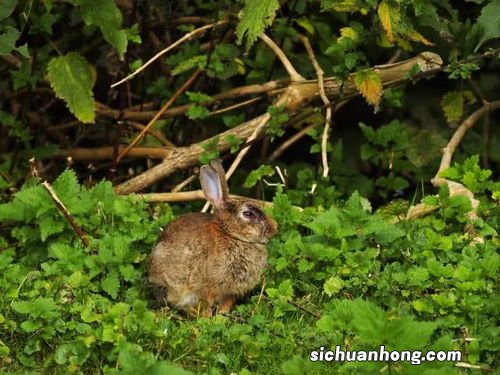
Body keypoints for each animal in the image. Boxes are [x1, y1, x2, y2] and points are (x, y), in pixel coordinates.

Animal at [148, 159, 282, 318]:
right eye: (248, 214)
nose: (275, 228)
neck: (231, 235)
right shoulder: (208, 286)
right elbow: (207, 302)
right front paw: (207, 318)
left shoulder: (230, 292)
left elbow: (226, 303)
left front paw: (222, 315)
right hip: (172, 285)